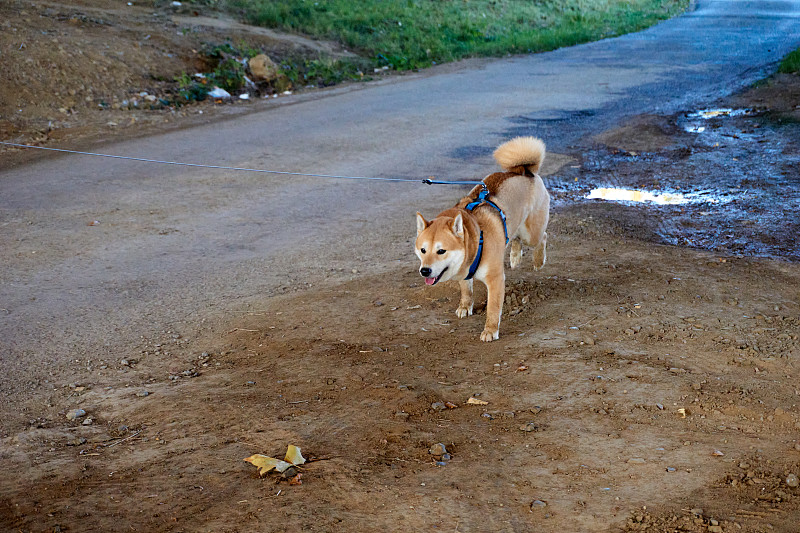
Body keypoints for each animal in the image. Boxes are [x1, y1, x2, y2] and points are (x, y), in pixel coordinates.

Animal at [412, 137, 552, 340]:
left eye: (441, 251)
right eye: (422, 250)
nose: (425, 271)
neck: (477, 239)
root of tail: (524, 171)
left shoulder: (495, 279)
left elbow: (493, 308)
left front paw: (490, 330)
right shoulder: (463, 270)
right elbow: (466, 290)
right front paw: (465, 306)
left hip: (531, 233)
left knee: (542, 237)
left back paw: (539, 260)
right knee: (514, 238)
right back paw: (515, 257)